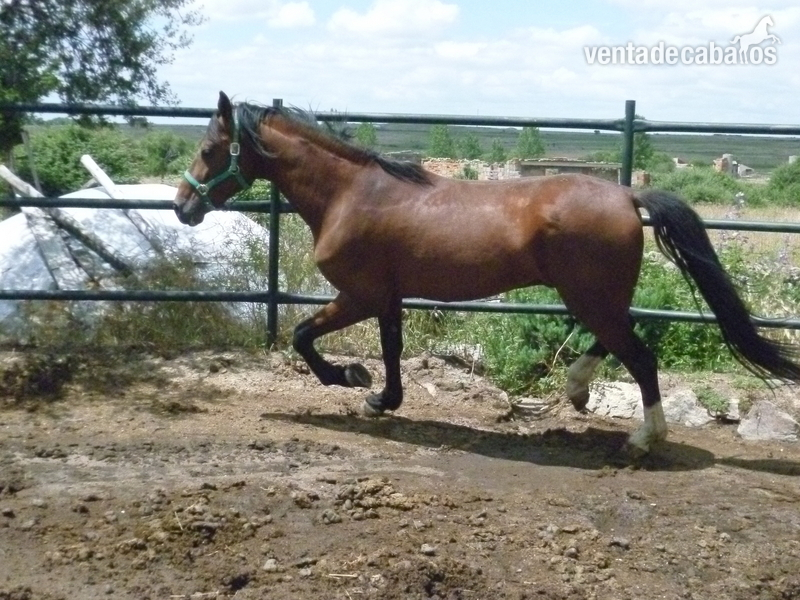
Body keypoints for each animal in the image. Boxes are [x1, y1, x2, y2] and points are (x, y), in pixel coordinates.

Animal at [174, 91, 800, 454]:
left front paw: (352, 379)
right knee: (619, 339)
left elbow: (305, 336)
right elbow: (393, 347)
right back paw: (576, 389)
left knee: (641, 356)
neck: (350, 195)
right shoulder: (389, 296)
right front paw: (383, 398)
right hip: (594, 295)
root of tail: (626, 194)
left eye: (208, 149)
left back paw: (644, 438)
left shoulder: (359, 292)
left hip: (589, 295)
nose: (183, 207)